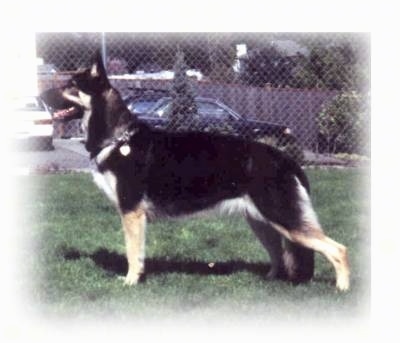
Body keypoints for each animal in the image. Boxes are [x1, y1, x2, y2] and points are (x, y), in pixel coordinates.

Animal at [54, 52, 348, 292]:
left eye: (71, 86)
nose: (43, 97)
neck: (118, 138)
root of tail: (284, 158)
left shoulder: (132, 213)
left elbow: (132, 252)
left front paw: (130, 282)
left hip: (283, 219)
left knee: (338, 249)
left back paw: (342, 288)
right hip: (262, 221)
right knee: (279, 255)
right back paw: (269, 282)